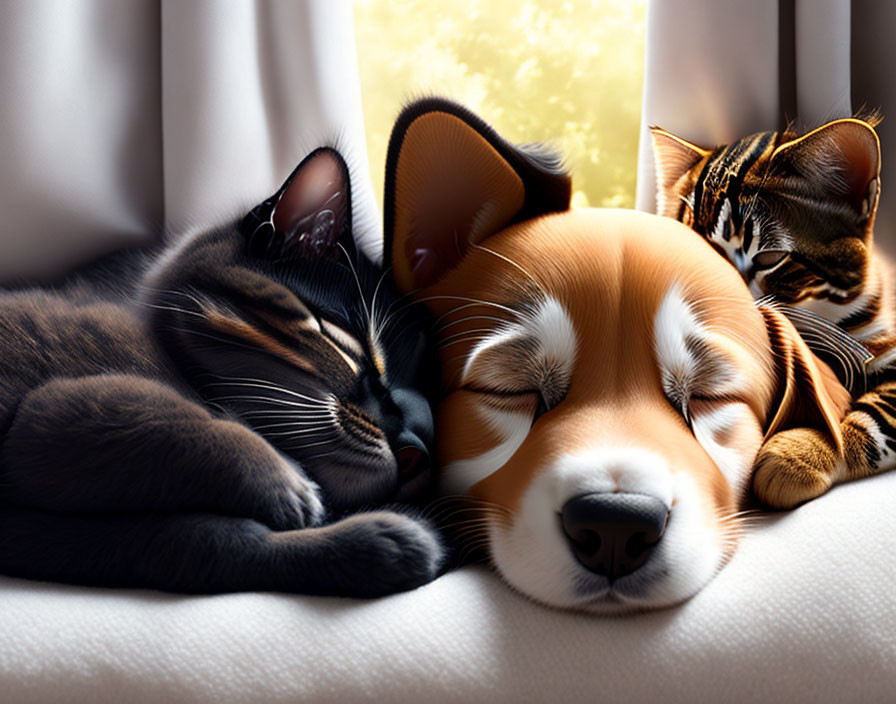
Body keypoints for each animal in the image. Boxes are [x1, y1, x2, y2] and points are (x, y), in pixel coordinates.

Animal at [0, 147, 446, 592]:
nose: (417, 448)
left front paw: (383, 546)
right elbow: (166, 416)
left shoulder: (76, 537)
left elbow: (205, 543)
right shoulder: (55, 412)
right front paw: (286, 485)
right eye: (347, 341)